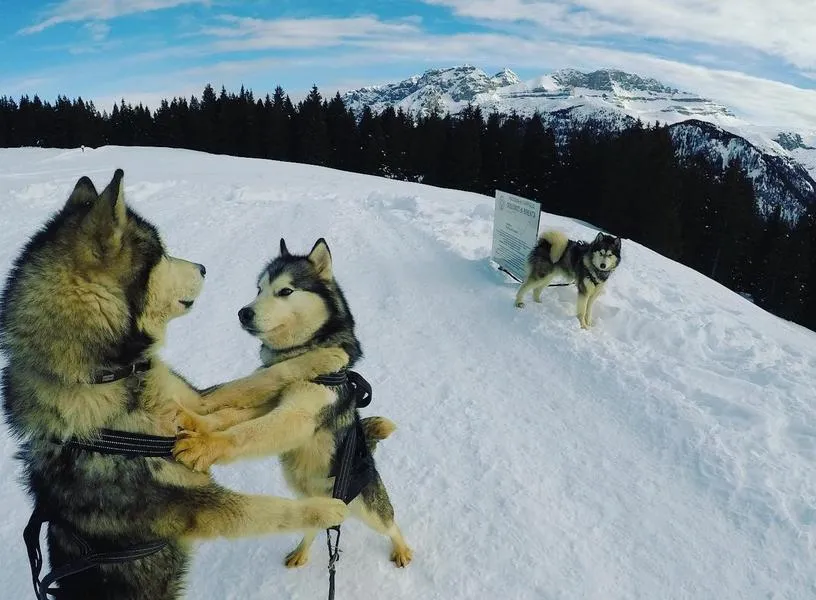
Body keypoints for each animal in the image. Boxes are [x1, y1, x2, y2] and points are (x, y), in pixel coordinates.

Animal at [0, 170, 350, 600]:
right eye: (163, 252)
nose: (203, 267)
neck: (113, 377)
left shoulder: (193, 401)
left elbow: (258, 380)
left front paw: (324, 358)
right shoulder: (199, 507)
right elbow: (268, 509)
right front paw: (326, 508)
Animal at [172, 238, 413, 568]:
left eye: (285, 291)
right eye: (259, 289)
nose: (243, 313)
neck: (305, 350)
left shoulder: (297, 415)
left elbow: (245, 433)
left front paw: (205, 446)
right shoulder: (270, 403)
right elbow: (231, 414)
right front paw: (197, 422)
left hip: (368, 508)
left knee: (391, 524)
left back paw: (402, 549)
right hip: (314, 498)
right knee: (315, 523)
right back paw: (301, 551)